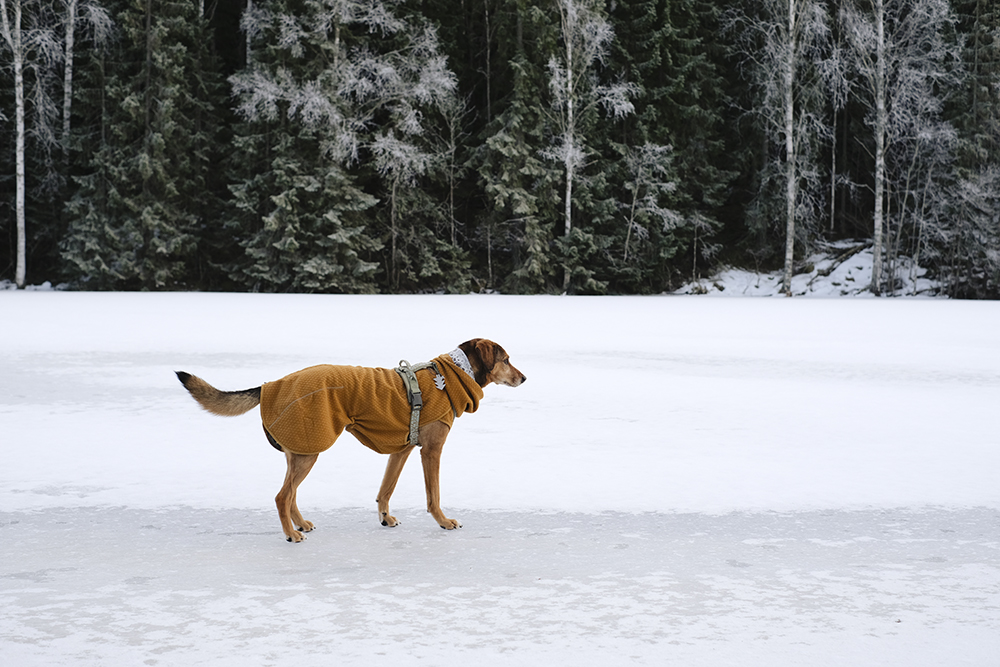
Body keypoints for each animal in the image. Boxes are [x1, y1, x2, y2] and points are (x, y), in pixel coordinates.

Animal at [176, 340, 528, 544]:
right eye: (506, 359)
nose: (524, 378)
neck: (451, 375)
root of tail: (268, 386)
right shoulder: (431, 450)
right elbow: (433, 495)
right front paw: (443, 521)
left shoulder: (401, 450)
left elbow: (385, 489)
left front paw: (385, 517)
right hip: (310, 450)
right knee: (281, 496)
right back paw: (290, 534)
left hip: (300, 450)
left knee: (290, 495)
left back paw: (300, 524)